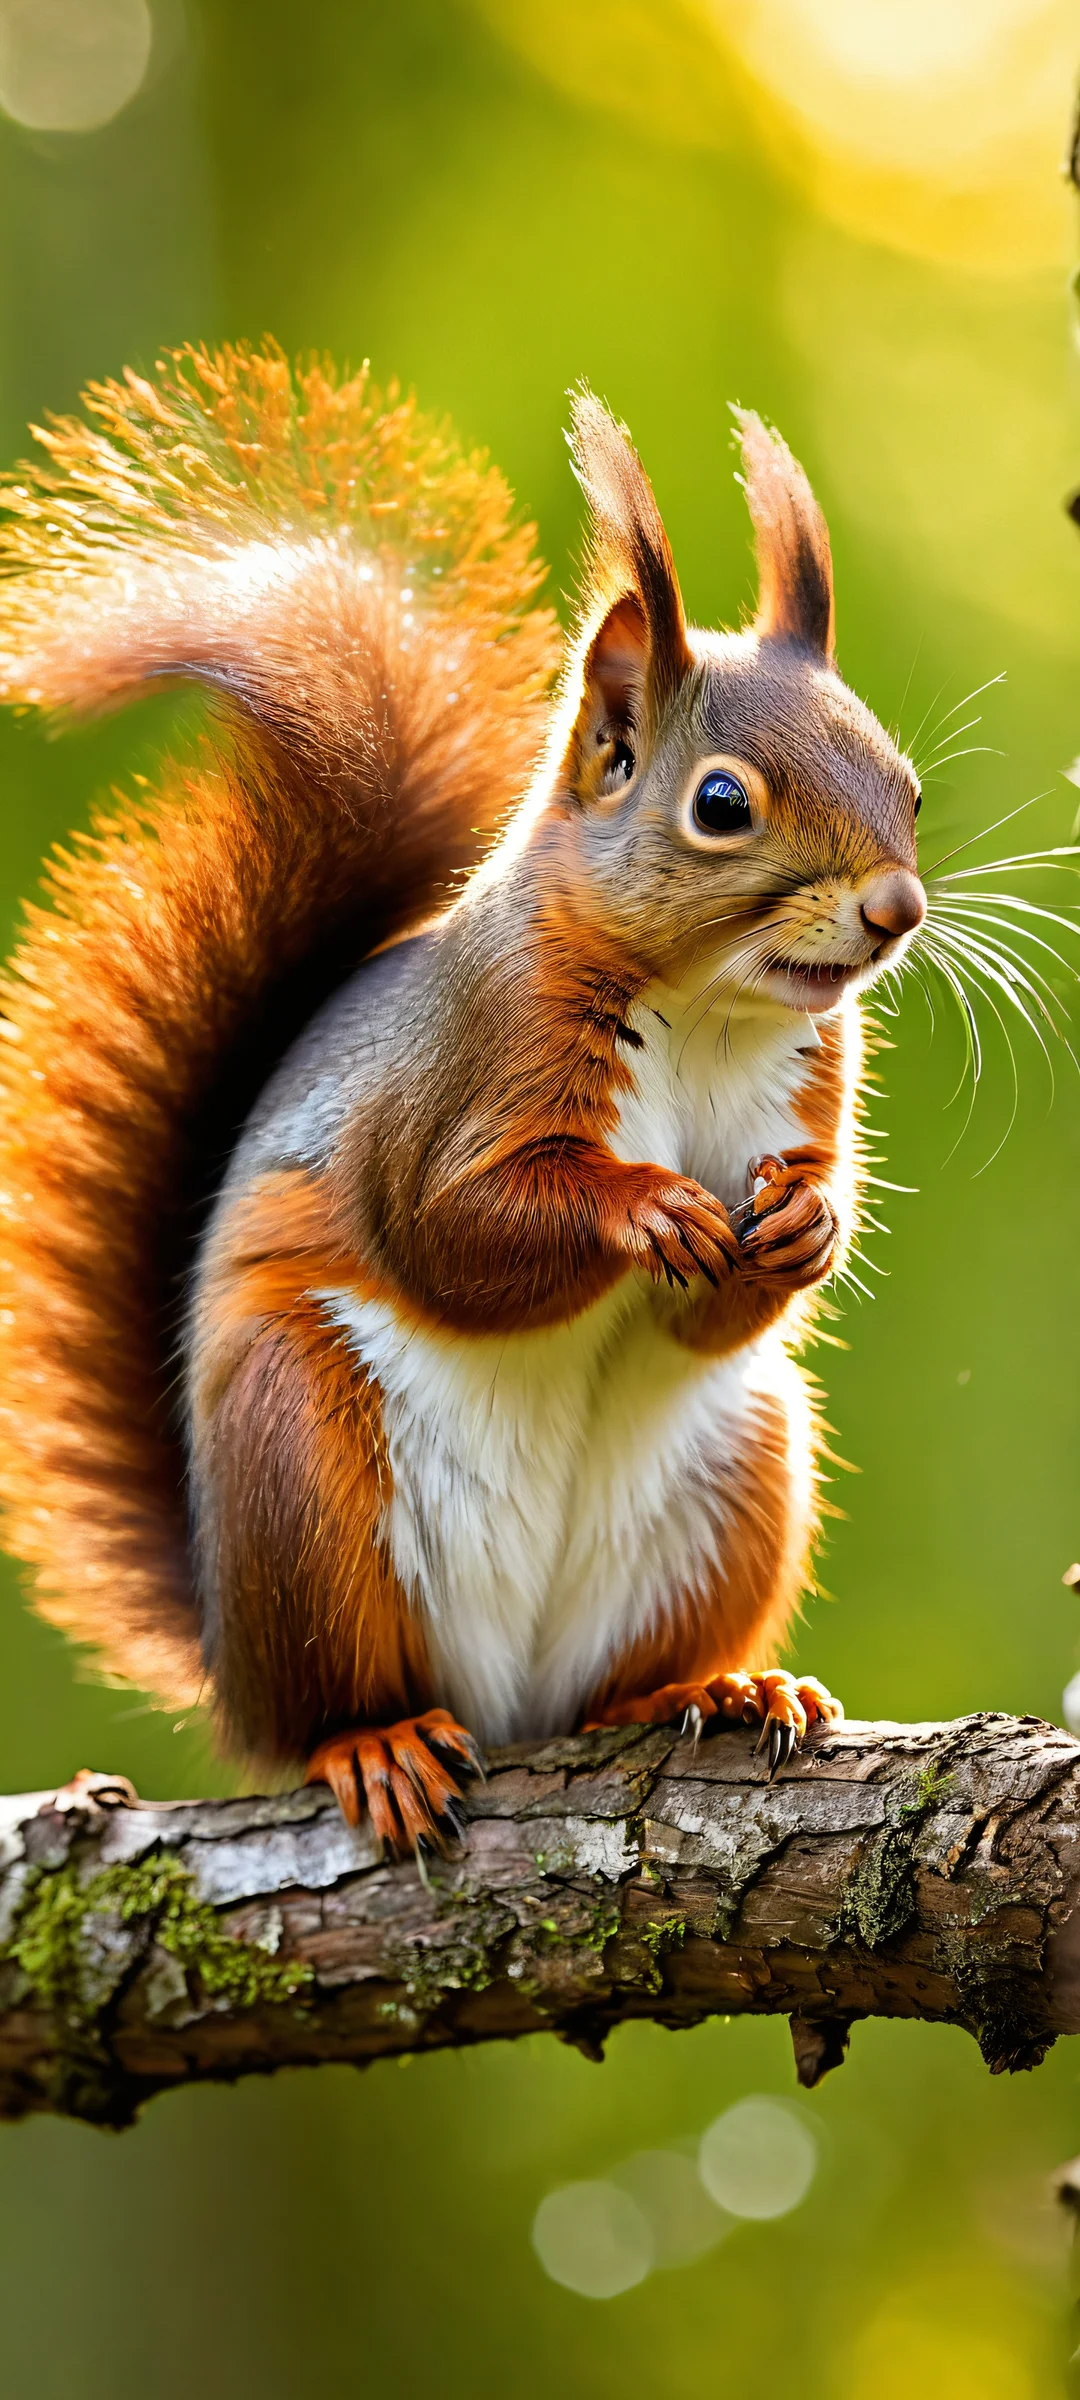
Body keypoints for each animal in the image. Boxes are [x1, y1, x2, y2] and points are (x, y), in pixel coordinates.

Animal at [0, 342, 925, 1852]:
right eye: (722, 804)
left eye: (901, 781)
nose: (897, 909)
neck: (710, 1012)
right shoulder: (459, 1077)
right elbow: (447, 1231)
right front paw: (646, 1208)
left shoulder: (806, 1082)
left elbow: (737, 1284)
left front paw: (809, 1225)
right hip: (302, 1463)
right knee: (331, 1705)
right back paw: (374, 1742)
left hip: (744, 1460)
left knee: (614, 1684)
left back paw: (712, 1690)